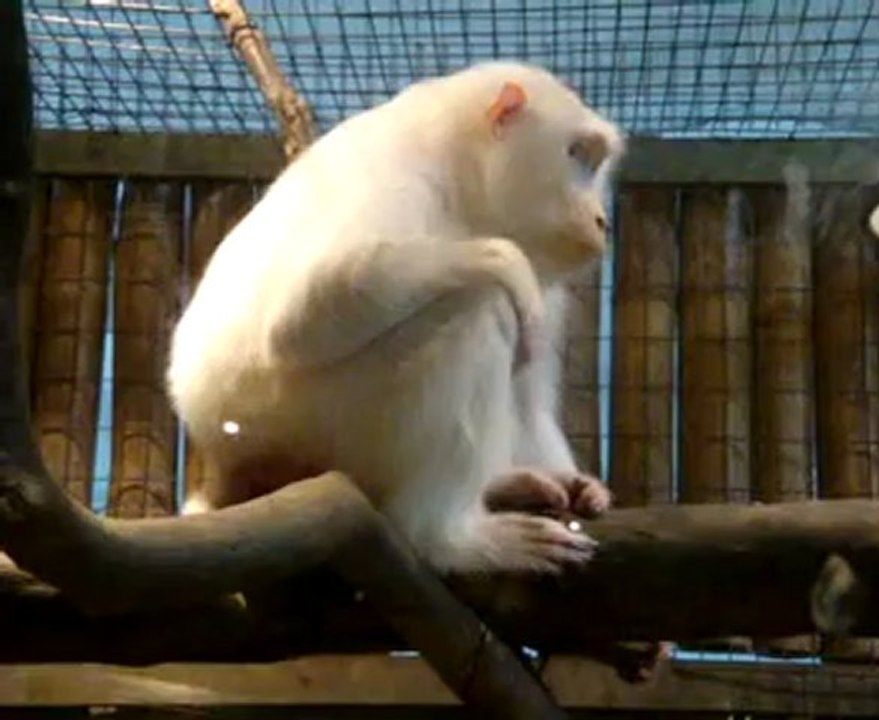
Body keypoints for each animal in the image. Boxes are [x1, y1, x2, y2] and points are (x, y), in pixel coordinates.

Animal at [167, 61, 625, 575]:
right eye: (576, 155)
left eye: (596, 164)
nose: (602, 220)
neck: (458, 171)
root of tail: (225, 455)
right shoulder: (396, 179)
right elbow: (300, 315)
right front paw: (502, 259)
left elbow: (532, 396)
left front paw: (572, 481)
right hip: (307, 421)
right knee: (477, 309)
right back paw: (449, 538)